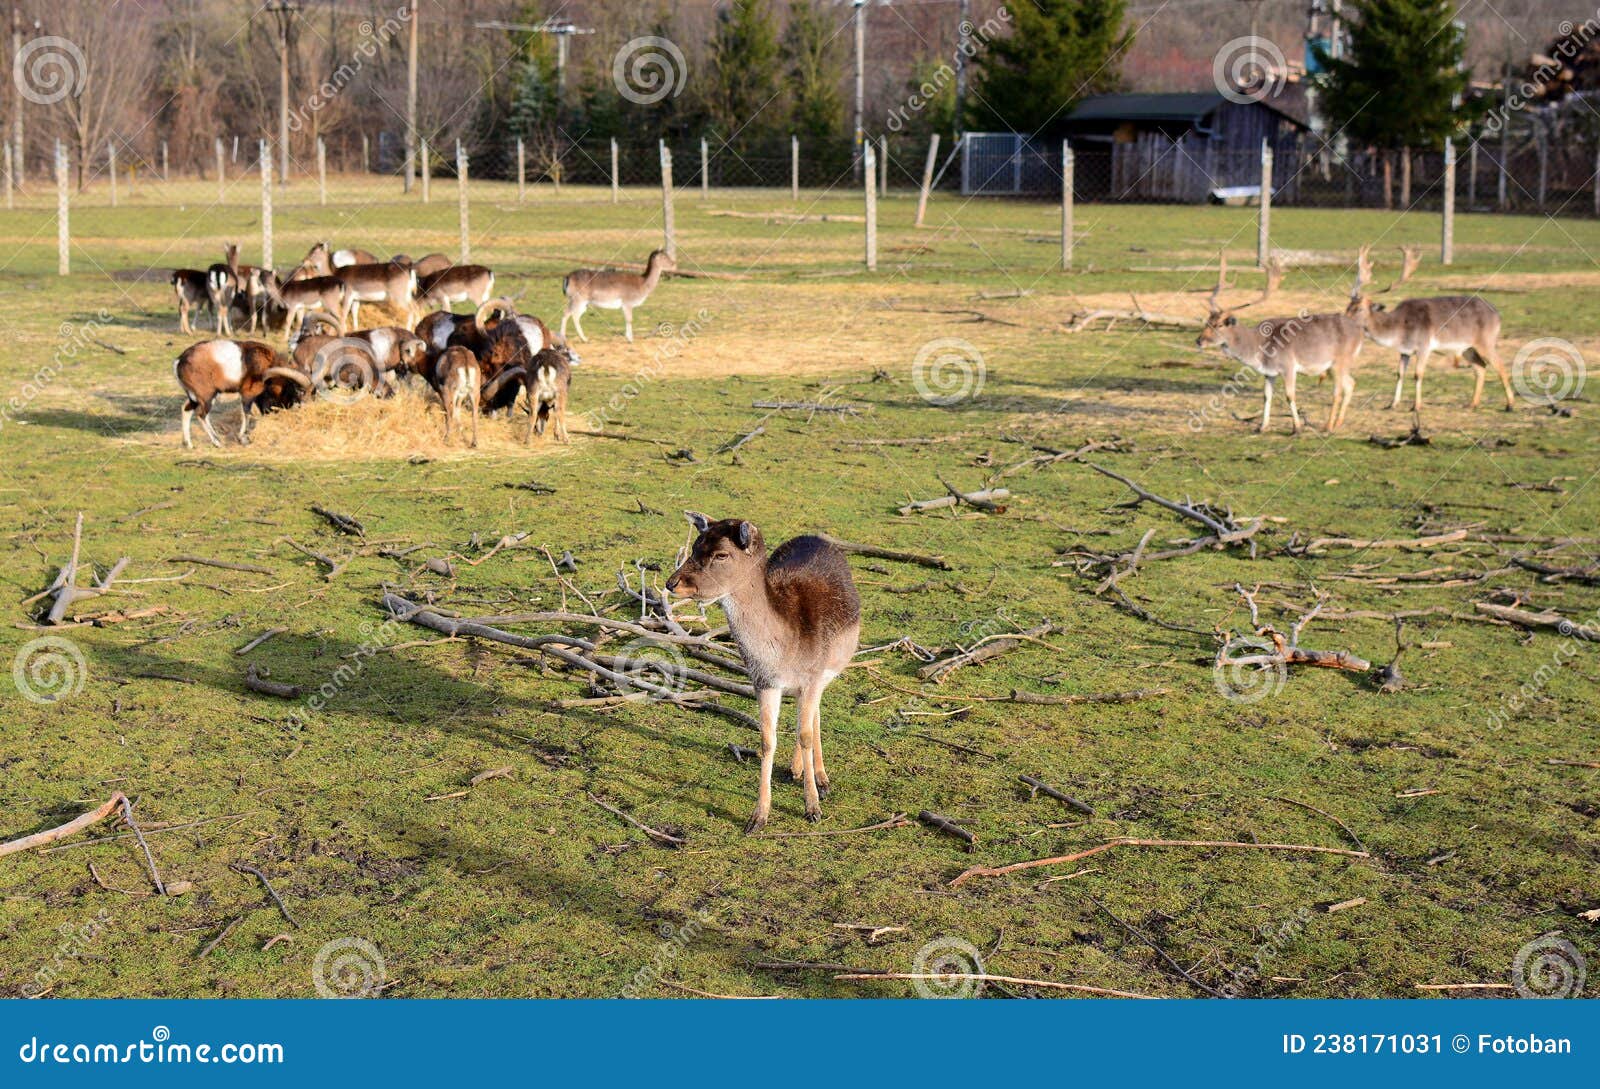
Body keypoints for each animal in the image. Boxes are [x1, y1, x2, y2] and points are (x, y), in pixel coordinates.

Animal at [173, 335, 307, 444]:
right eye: (294, 391)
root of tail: (179, 361)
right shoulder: (247, 395)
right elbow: (246, 413)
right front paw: (243, 439)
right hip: (207, 397)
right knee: (201, 415)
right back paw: (217, 442)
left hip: (194, 398)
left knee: (186, 410)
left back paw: (188, 444)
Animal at [662, 514, 864, 825]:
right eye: (695, 545)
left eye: (722, 554)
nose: (673, 583)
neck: (782, 654)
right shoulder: (764, 682)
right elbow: (768, 740)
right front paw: (758, 816)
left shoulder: (812, 677)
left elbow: (805, 735)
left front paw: (813, 808)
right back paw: (796, 770)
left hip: (833, 666)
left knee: (813, 717)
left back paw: (820, 778)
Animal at [1196, 252, 1369, 431]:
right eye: (1207, 322)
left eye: (1219, 324)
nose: (1199, 341)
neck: (1259, 349)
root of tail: (1360, 331)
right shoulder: (1269, 372)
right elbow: (1266, 396)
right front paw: (1262, 427)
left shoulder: (1288, 366)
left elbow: (1289, 395)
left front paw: (1297, 428)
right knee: (1351, 383)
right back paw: (1338, 423)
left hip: (1340, 361)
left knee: (1338, 391)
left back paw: (1328, 427)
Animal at [1337, 244, 1510, 412]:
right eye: (1348, 306)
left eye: (1359, 308)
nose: (1342, 320)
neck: (1399, 330)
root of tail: (1497, 314)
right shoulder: (1404, 351)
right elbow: (1399, 373)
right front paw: (1392, 404)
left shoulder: (1424, 346)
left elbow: (1418, 374)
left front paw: (1416, 406)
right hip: (1467, 348)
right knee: (1480, 367)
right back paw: (1472, 404)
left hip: (1486, 341)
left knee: (1501, 366)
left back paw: (1509, 405)